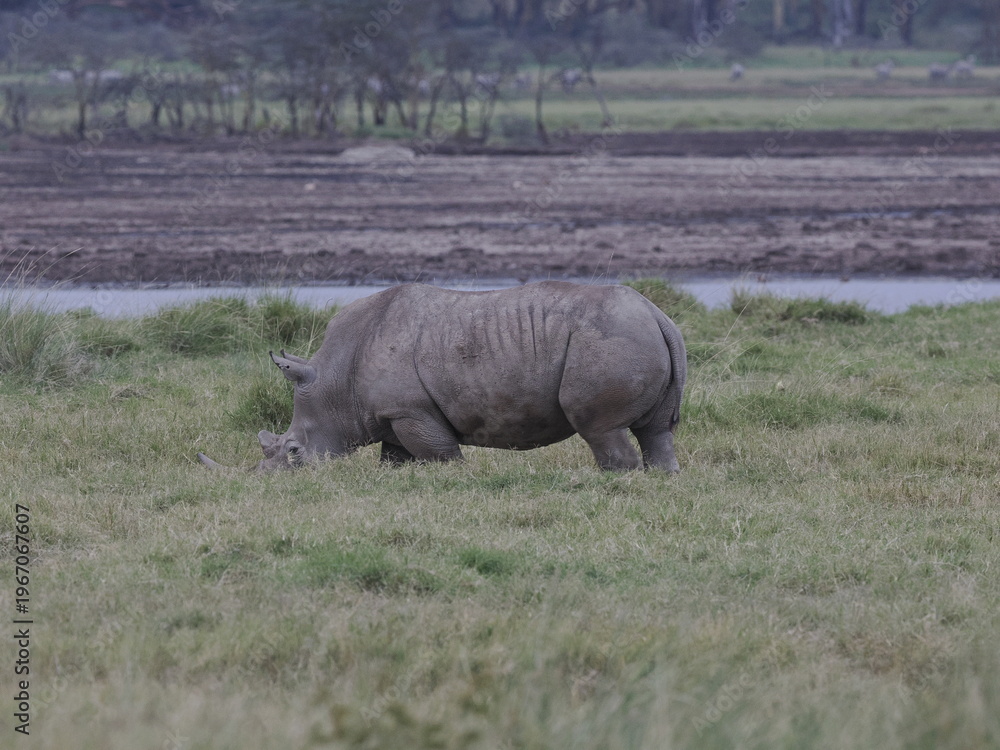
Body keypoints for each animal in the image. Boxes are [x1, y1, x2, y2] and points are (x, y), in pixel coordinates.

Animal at [198, 281, 686, 472]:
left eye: (295, 451)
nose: (267, 479)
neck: (335, 382)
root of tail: (658, 314)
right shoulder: (392, 416)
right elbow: (395, 459)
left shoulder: (410, 411)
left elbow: (441, 455)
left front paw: (455, 477)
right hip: (638, 335)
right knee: (657, 431)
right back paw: (660, 478)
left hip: (611, 339)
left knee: (602, 429)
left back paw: (614, 480)